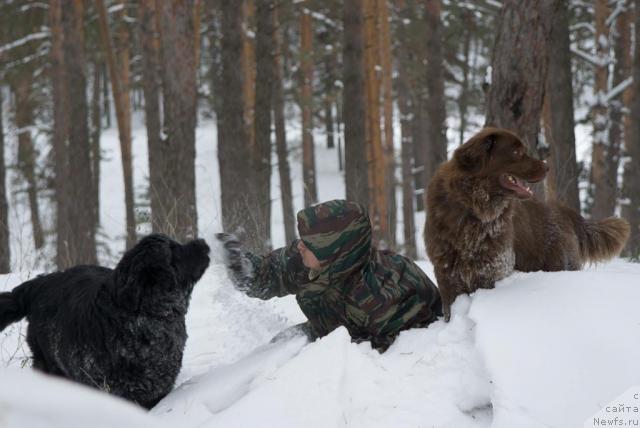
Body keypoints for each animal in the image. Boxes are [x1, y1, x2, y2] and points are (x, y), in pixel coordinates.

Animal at [424, 128, 632, 320]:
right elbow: (449, 310)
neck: (473, 208)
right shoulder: (446, 272)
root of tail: (564, 211)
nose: (547, 167)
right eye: (516, 152)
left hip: (560, 263)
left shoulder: (493, 268)